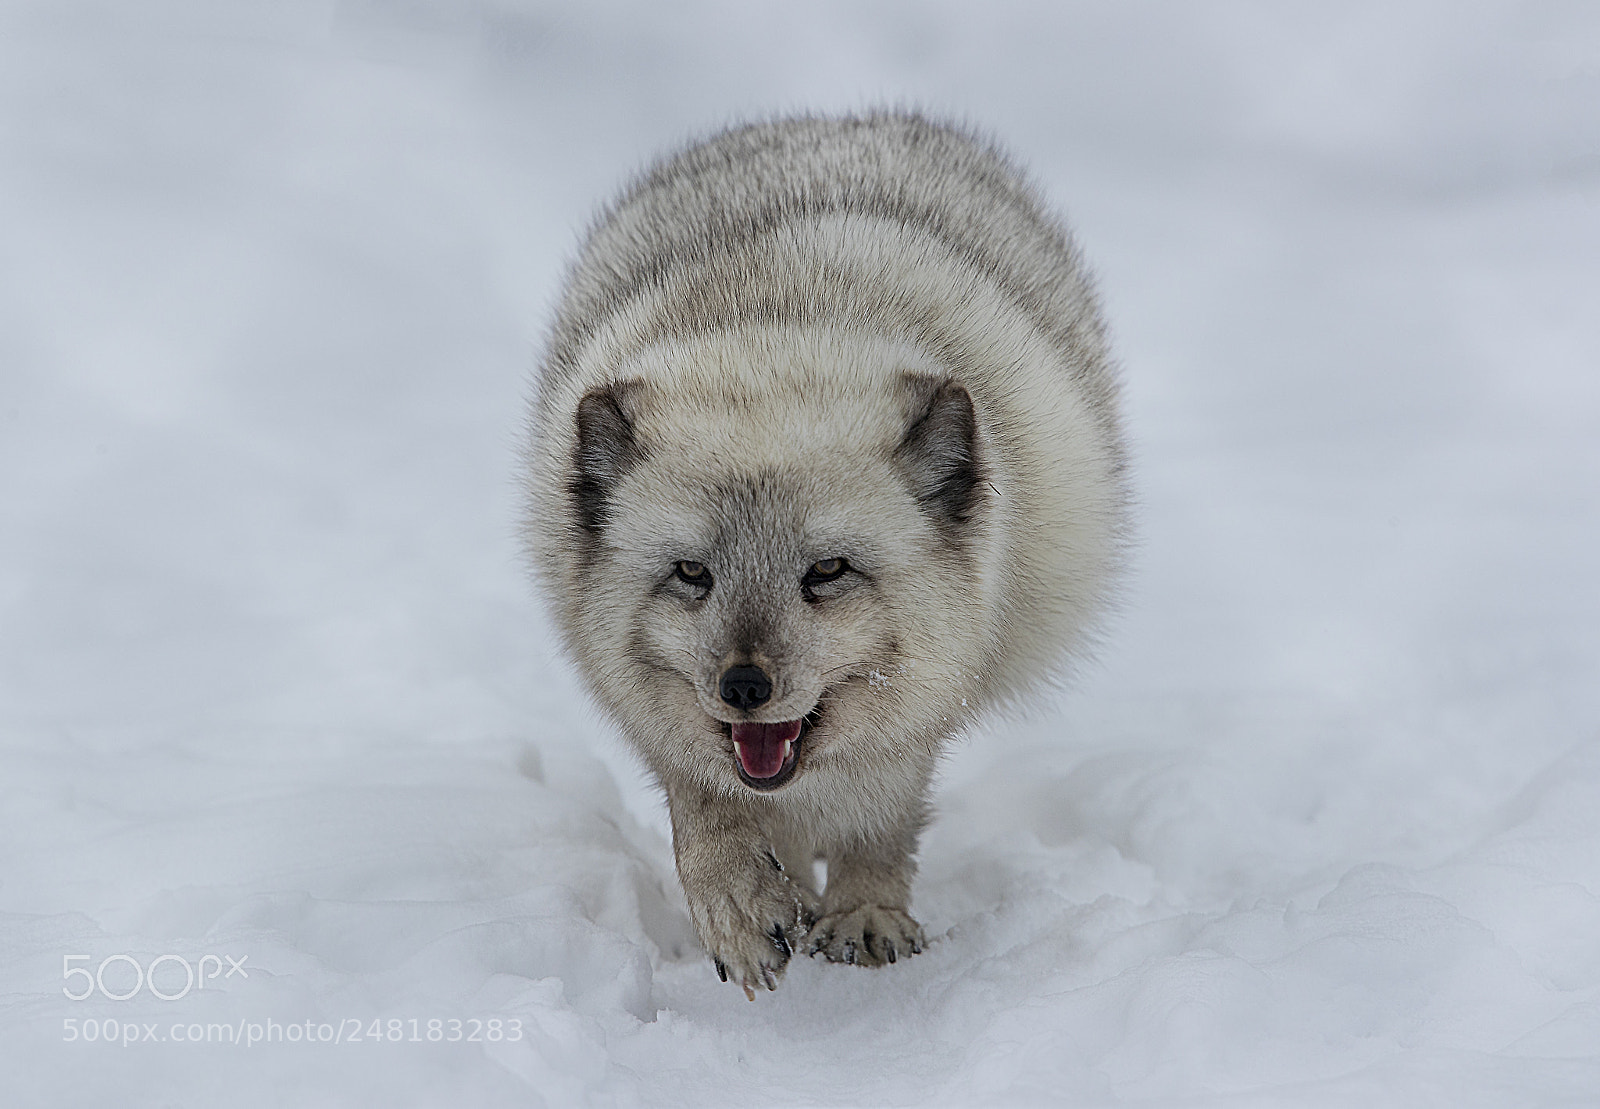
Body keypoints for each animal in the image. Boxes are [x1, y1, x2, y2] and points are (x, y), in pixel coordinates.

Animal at [522, 110, 1128, 996]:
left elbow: (877, 816)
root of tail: (831, 117)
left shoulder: (921, 706)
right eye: (692, 573)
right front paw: (740, 904)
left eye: (828, 570)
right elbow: (703, 806)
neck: (772, 332)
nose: (744, 686)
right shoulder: (656, 713)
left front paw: (864, 910)